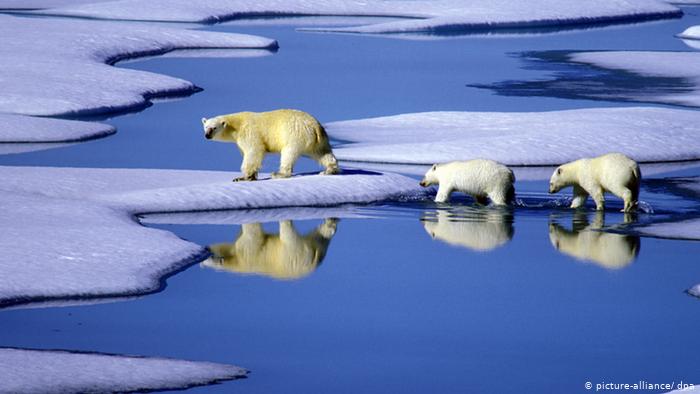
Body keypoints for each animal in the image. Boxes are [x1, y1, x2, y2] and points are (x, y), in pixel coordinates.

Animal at [201, 107, 340, 182]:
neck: (237, 125)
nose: (207, 135)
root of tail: (315, 126)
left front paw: (242, 177)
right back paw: (329, 170)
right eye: (206, 127)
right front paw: (251, 176)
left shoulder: (249, 133)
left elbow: (253, 152)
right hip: (319, 140)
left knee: (288, 153)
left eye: (214, 128)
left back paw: (279, 174)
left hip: (294, 134)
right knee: (323, 153)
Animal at [201, 219, 338, 280]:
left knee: (288, 235)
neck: (238, 262)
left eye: (210, 258)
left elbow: (253, 234)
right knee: (320, 237)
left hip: (294, 254)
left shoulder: (247, 253)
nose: (206, 247)